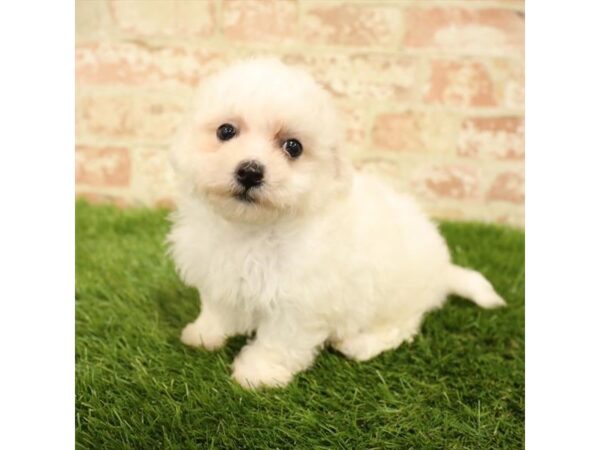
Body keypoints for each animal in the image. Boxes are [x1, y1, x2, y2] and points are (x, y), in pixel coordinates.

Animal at [166, 57, 504, 386]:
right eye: (225, 131)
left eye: (293, 147)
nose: (250, 171)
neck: (252, 228)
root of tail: (442, 270)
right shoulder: (217, 271)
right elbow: (218, 308)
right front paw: (204, 334)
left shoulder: (298, 301)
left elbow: (279, 341)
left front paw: (258, 373)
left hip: (398, 298)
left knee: (402, 327)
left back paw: (359, 344)